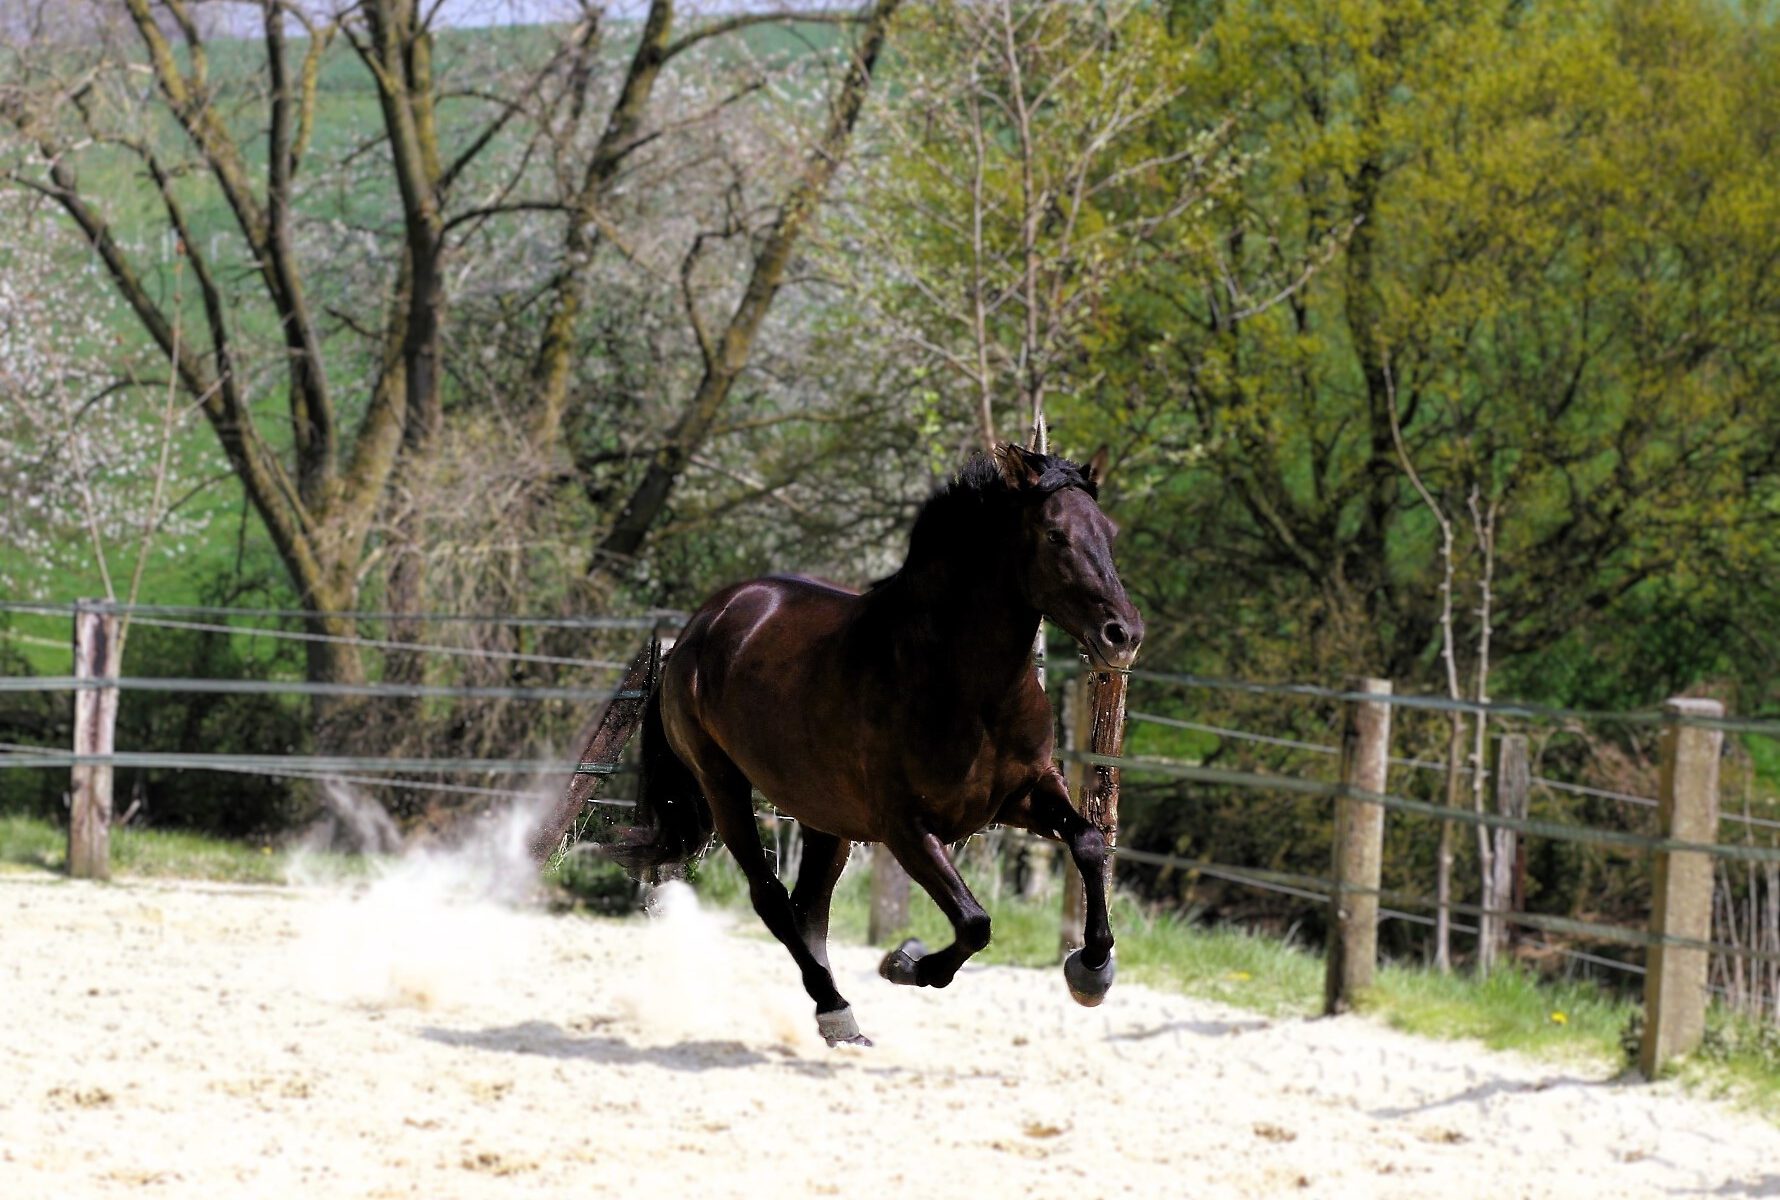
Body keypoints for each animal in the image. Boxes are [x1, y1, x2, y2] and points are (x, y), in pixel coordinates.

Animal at [605, 443, 1146, 1039]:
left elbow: (1089, 842)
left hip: (822, 814)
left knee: (809, 906)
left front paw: (1091, 970)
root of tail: (699, 625)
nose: (1123, 635)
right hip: (723, 786)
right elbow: (974, 923)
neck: (962, 685)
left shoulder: (1022, 793)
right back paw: (835, 1006)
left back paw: (833, 1014)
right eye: (1054, 535)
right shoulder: (905, 827)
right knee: (771, 897)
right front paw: (906, 963)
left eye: (1110, 532)